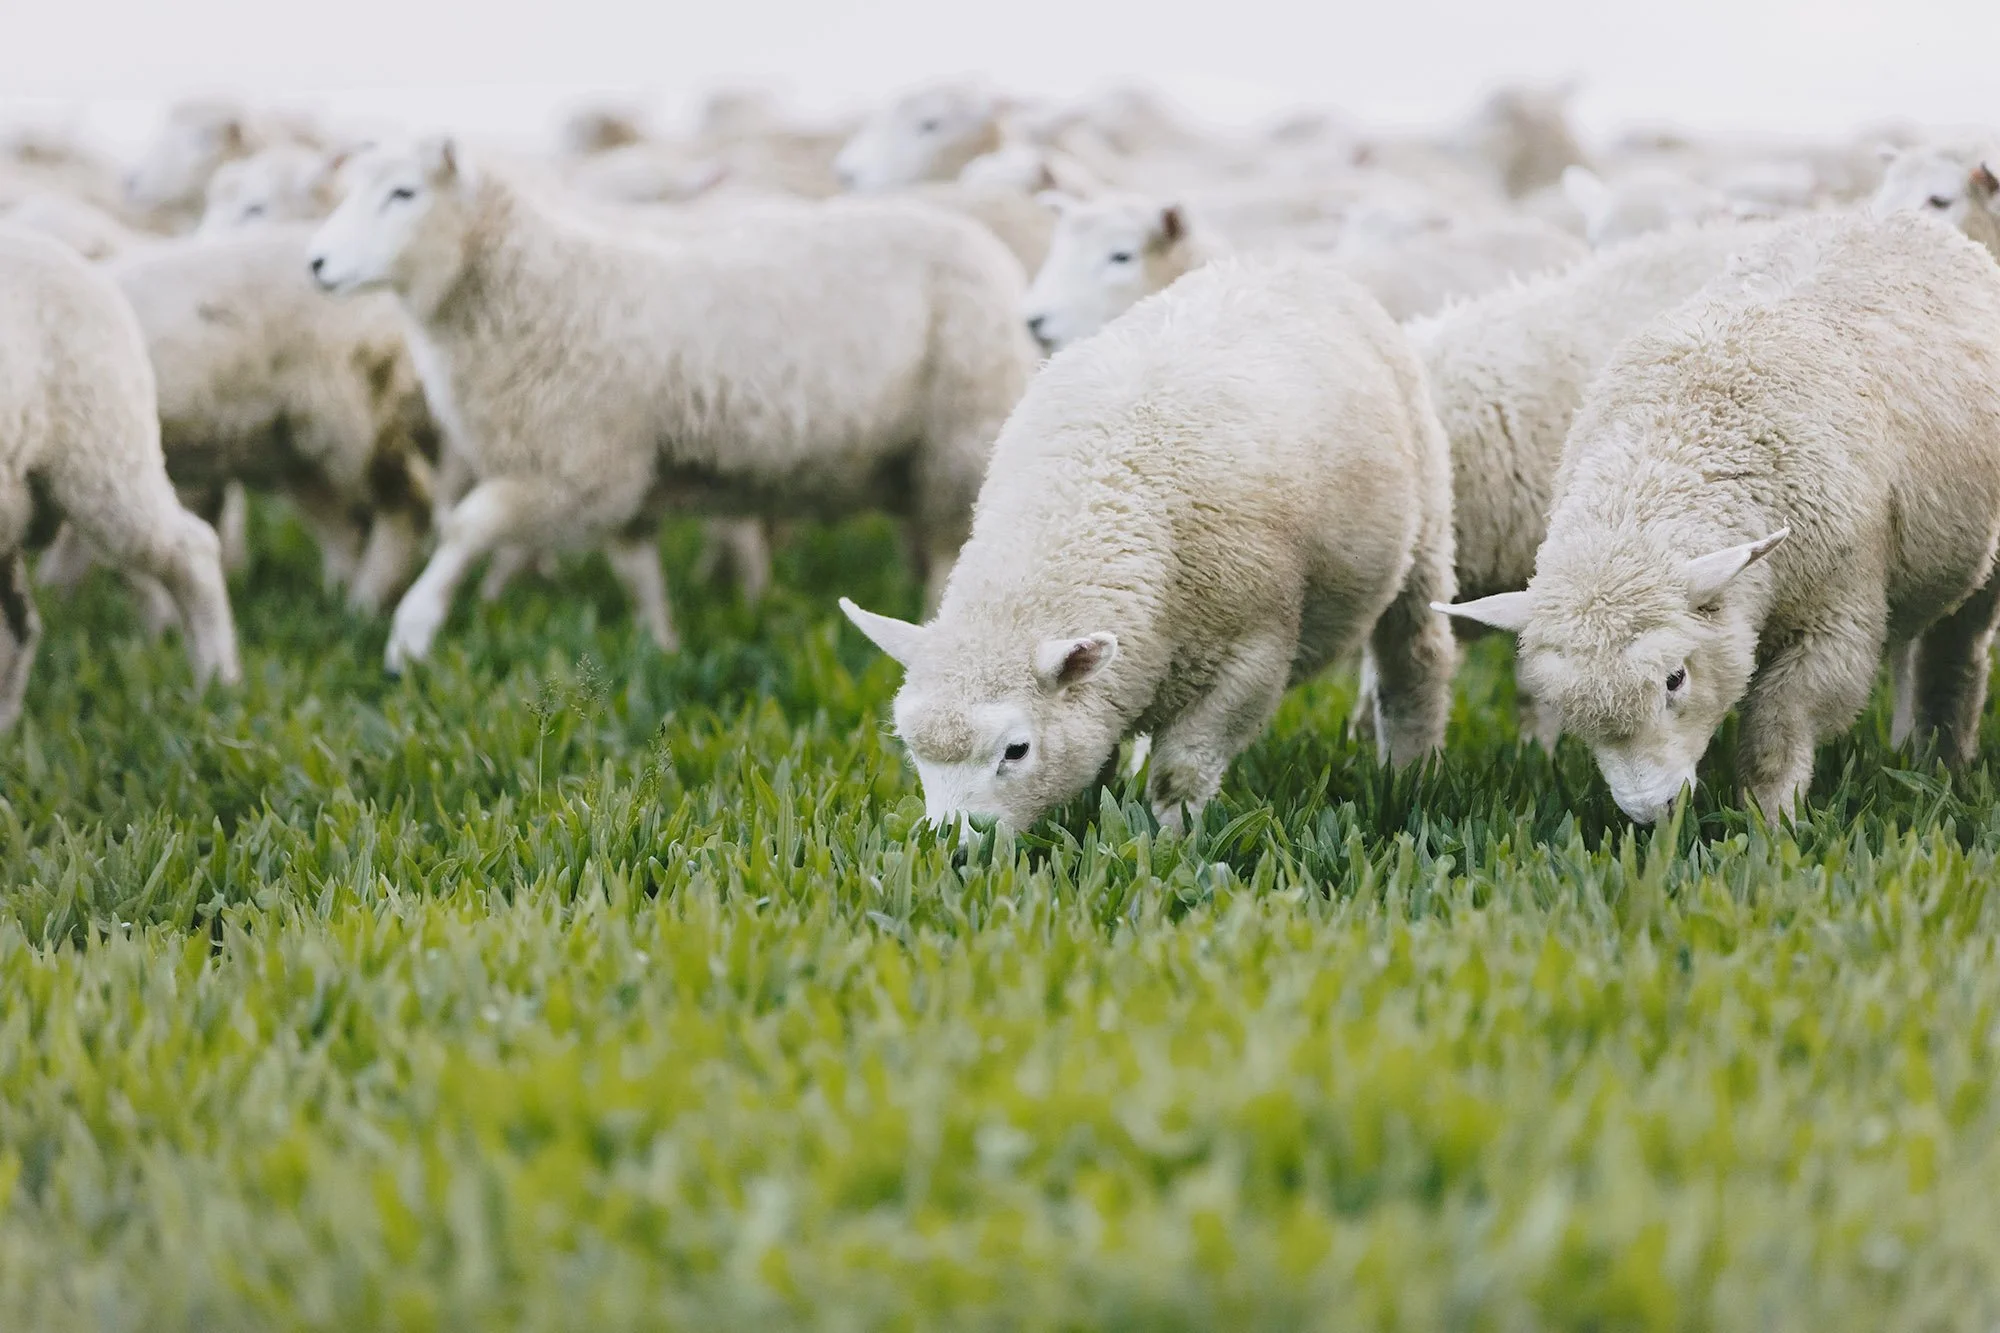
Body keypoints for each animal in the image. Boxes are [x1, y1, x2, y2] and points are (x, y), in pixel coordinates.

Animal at [306, 139, 1036, 673]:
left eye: (404, 193)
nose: (314, 263)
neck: (538, 285)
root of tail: (989, 248)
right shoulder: (625, 477)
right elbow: (637, 572)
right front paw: (661, 648)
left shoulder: (579, 465)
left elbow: (466, 526)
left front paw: (410, 635)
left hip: (958, 438)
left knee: (949, 549)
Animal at [839, 253, 1457, 831]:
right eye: (912, 748)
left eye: (1016, 751)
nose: (953, 849)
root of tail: (1285, 262)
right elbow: (1099, 761)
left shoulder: (1249, 660)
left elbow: (1180, 775)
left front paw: (1170, 843)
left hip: (1424, 530)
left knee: (1415, 662)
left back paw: (1408, 776)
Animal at [1438, 212, 2000, 823]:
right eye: (1566, 704)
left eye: (1675, 679)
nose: (1652, 812)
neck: (1675, 451)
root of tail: (1887, 217)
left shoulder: (1832, 622)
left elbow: (1777, 736)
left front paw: (1771, 824)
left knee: (1956, 655)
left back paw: (1947, 757)